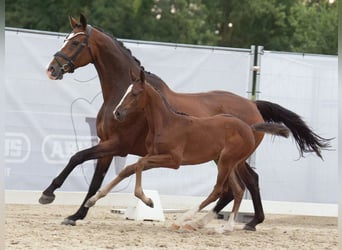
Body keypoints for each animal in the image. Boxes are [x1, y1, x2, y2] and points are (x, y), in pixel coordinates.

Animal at [85, 69, 288, 231]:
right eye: (126, 91)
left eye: (135, 93)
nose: (117, 113)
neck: (166, 122)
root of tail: (249, 127)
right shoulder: (155, 155)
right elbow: (130, 168)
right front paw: (93, 199)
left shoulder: (173, 160)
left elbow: (139, 164)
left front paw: (147, 200)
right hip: (226, 162)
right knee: (237, 190)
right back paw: (225, 227)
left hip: (226, 161)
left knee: (219, 190)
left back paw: (185, 220)